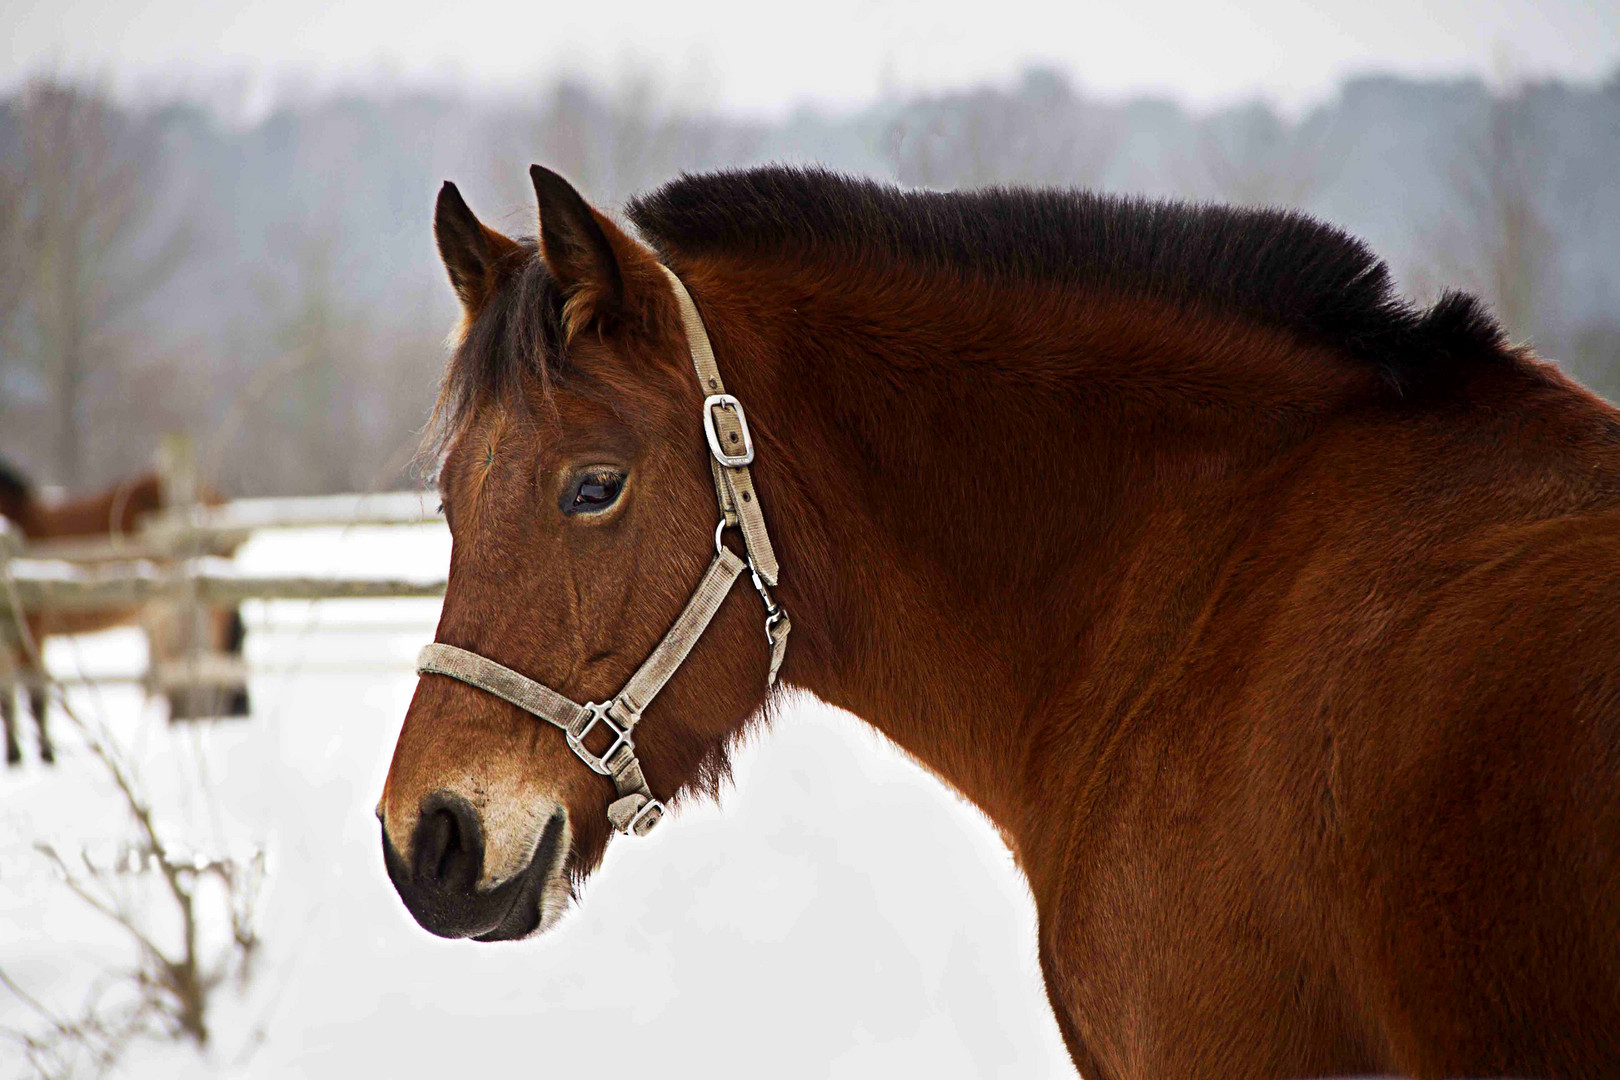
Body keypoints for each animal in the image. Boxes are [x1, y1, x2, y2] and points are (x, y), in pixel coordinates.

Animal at [0, 459, 249, 764]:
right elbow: (8, 698)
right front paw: (14, 758)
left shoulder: (33, 626)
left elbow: (35, 695)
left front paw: (46, 758)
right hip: (166, 617)